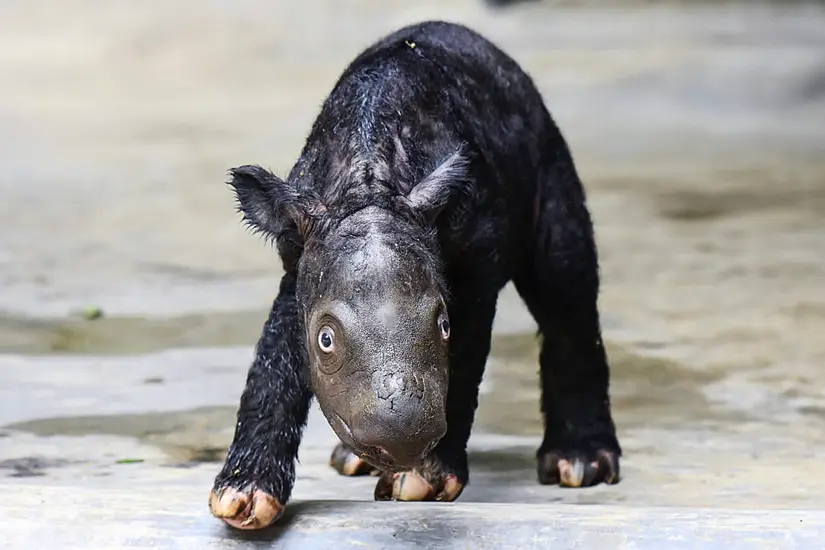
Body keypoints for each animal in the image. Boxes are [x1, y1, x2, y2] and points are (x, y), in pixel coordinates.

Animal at [209, 20, 620, 532]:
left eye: (442, 325)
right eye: (325, 340)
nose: (401, 443)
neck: (370, 183)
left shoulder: (475, 261)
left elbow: (464, 358)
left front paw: (420, 482)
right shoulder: (301, 252)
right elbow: (276, 355)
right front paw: (242, 499)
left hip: (549, 153)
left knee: (564, 286)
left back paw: (579, 466)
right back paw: (352, 460)